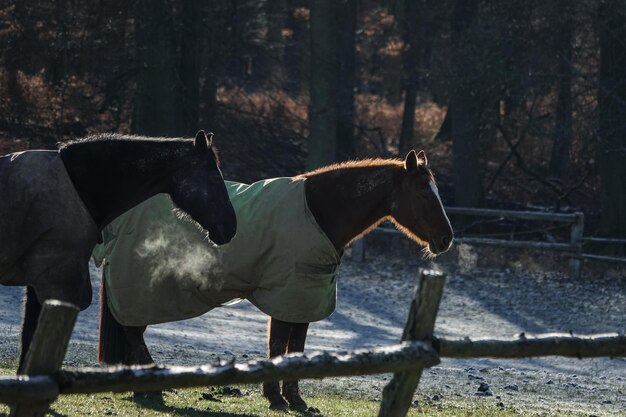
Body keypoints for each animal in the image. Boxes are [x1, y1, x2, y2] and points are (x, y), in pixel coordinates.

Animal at [96, 150, 448, 410]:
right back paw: (152, 388)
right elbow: (279, 345)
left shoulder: (303, 299)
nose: (446, 238)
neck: (317, 212)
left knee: (132, 332)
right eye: (424, 193)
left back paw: (141, 388)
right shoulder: (286, 294)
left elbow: (294, 347)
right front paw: (278, 398)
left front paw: (294, 399)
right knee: (133, 332)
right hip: (138, 290)